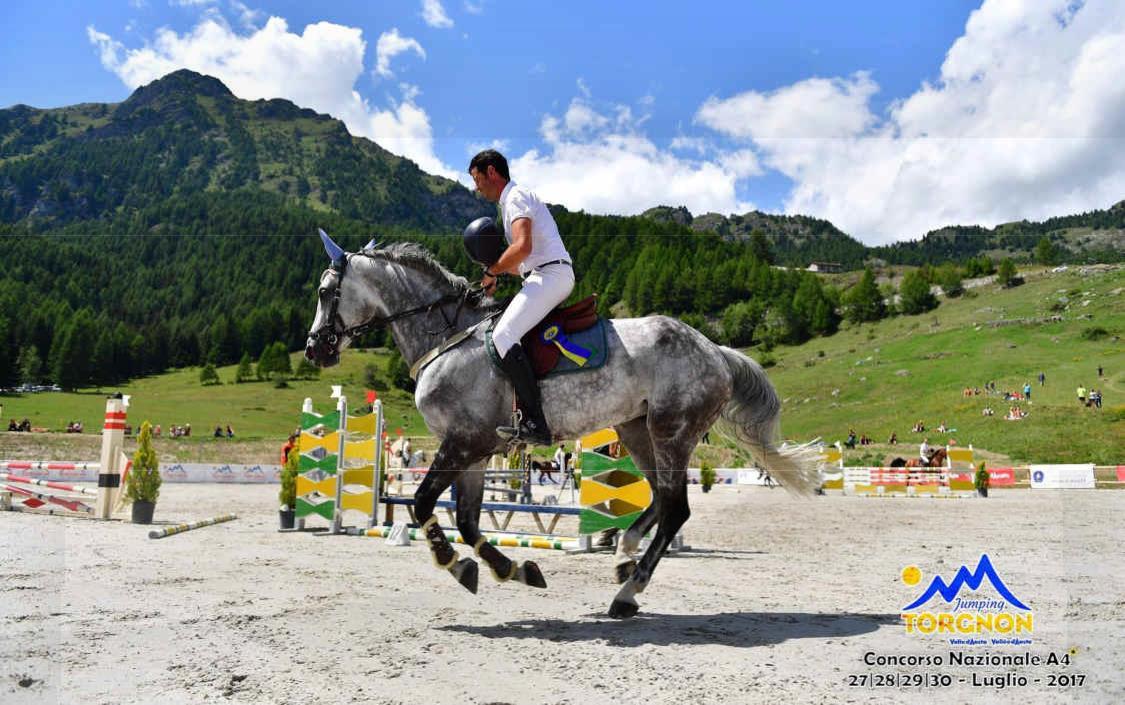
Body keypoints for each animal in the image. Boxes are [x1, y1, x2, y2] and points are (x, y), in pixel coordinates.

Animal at [303, 232, 823, 616]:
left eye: (326, 293)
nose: (314, 349)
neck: (447, 338)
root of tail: (715, 349)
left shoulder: (463, 442)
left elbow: (423, 503)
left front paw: (455, 564)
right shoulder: (473, 449)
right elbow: (467, 519)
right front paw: (509, 569)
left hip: (671, 430)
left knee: (676, 508)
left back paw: (627, 592)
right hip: (637, 429)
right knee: (659, 498)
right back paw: (624, 554)